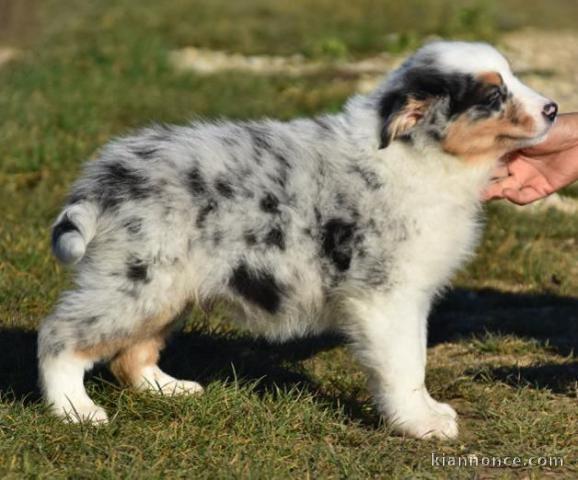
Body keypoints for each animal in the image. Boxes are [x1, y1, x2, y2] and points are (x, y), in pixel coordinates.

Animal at [38, 42, 556, 438]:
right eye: (493, 94)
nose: (553, 109)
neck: (424, 158)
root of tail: (105, 178)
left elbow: (416, 361)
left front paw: (429, 412)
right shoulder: (387, 296)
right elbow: (407, 365)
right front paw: (420, 423)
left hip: (166, 284)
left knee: (131, 354)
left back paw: (169, 389)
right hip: (135, 279)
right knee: (58, 336)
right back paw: (76, 411)